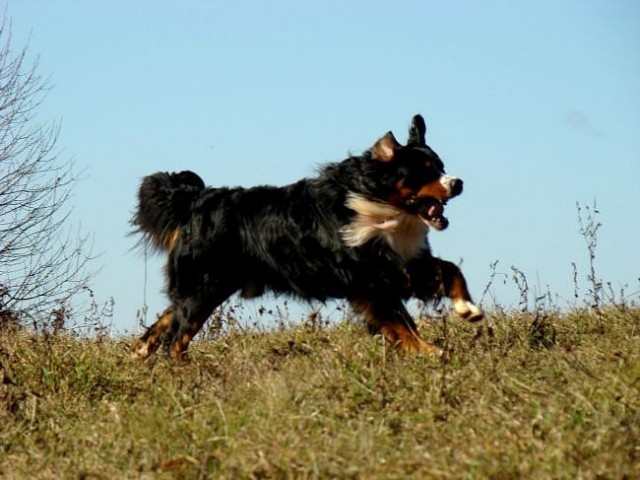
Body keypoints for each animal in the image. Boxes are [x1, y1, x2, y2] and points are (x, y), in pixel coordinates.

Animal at [131, 113, 480, 360]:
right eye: (424, 170)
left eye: (441, 165)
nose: (458, 183)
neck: (380, 207)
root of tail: (195, 201)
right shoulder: (371, 280)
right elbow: (401, 324)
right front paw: (430, 351)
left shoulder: (405, 263)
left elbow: (451, 271)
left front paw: (469, 310)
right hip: (203, 287)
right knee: (177, 339)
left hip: (207, 286)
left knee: (166, 321)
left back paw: (140, 352)